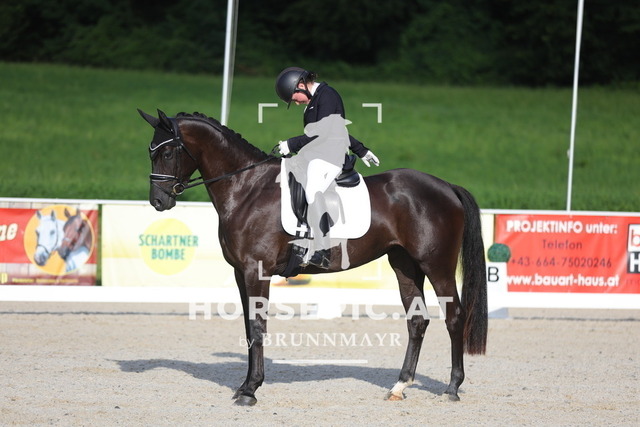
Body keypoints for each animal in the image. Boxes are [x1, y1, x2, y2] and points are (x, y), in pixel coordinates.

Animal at [139, 109, 488, 406]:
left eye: (167, 153)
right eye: (151, 151)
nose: (158, 201)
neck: (247, 188)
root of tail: (446, 187)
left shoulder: (256, 271)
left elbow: (258, 326)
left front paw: (250, 390)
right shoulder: (241, 272)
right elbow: (248, 327)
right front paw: (244, 385)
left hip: (437, 266)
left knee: (455, 317)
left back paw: (452, 387)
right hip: (405, 266)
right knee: (417, 321)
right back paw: (399, 386)